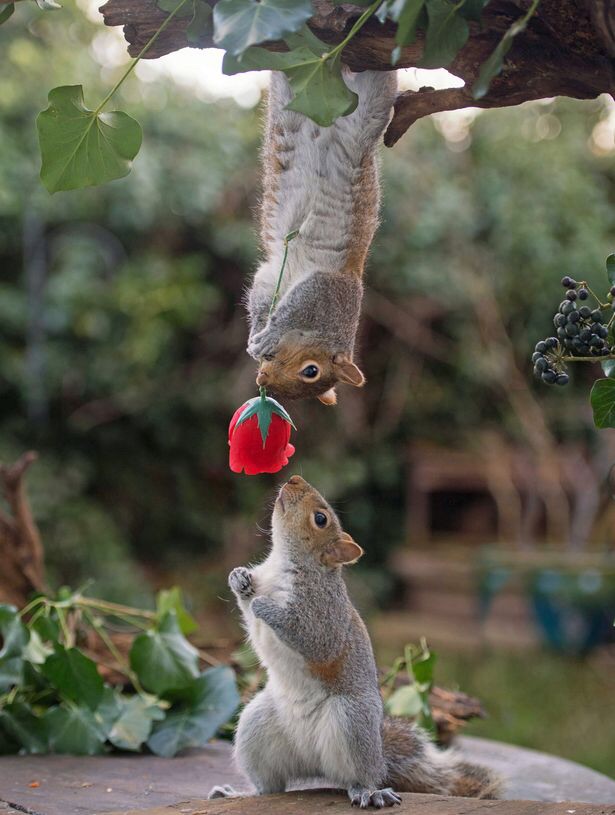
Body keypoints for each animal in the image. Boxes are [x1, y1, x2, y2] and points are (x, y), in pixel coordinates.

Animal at [209, 474, 502, 808]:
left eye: (320, 519)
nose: (294, 479)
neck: (282, 564)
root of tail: (314, 764)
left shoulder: (324, 615)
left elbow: (312, 638)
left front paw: (263, 604)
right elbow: (250, 615)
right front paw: (239, 578)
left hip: (352, 721)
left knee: (356, 776)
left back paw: (369, 792)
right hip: (255, 726)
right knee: (270, 786)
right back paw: (237, 792)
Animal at [243, 68, 398, 406]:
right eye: (311, 370)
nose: (262, 378)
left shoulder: (278, 276)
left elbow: (264, 295)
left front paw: (260, 334)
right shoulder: (329, 289)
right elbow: (288, 308)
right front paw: (265, 333)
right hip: (374, 102)